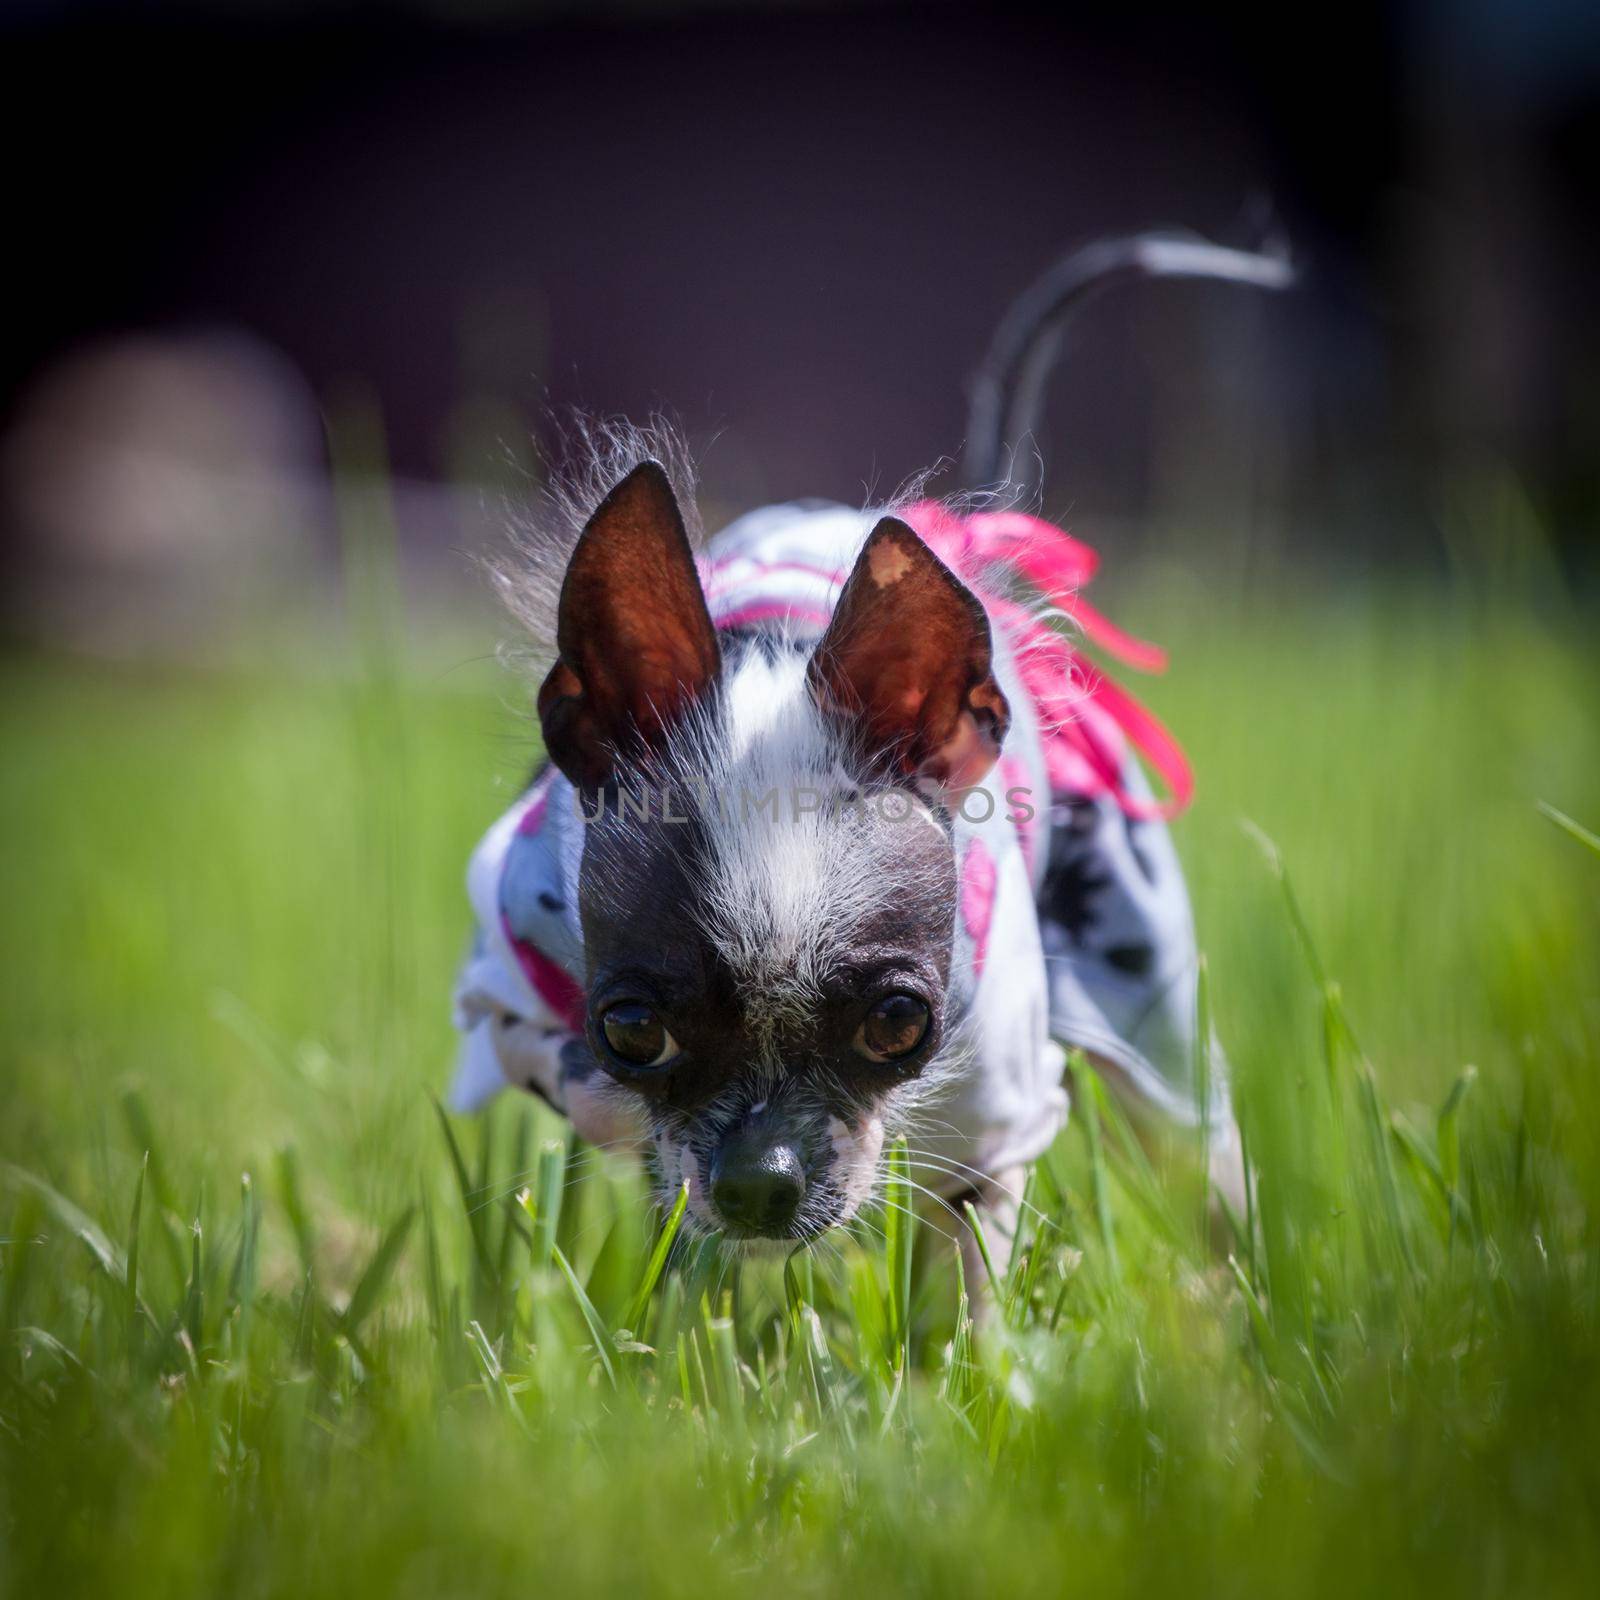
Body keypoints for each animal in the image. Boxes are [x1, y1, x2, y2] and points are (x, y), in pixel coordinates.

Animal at [448, 232, 1286, 1254]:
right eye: (634, 1029)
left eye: (897, 1021)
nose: (760, 1184)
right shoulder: (508, 998)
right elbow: (605, 1106)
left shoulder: (990, 1128)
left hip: (1157, 1028)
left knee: (1201, 1164)